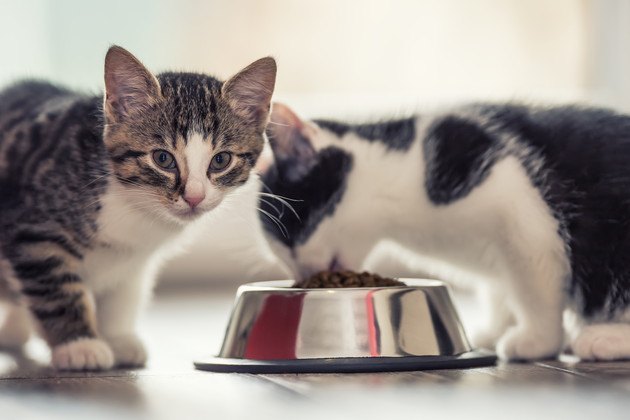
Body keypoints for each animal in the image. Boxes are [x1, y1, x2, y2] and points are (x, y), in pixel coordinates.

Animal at [0, 44, 276, 370]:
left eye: (221, 160)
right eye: (162, 158)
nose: (194, 197)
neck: (134, 203)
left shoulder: (135, 259)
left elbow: (123, 295)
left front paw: (117, 338)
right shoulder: (34, 230)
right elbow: (55, 287)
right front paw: (79, 344)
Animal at [256, 103, 630, 362]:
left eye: (294, 235)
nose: (302, 274)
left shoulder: (519, 208)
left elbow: (533, 287)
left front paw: (536, 341)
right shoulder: (500, 254)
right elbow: (502, 289)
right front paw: (495, 329)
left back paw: (602, 338)